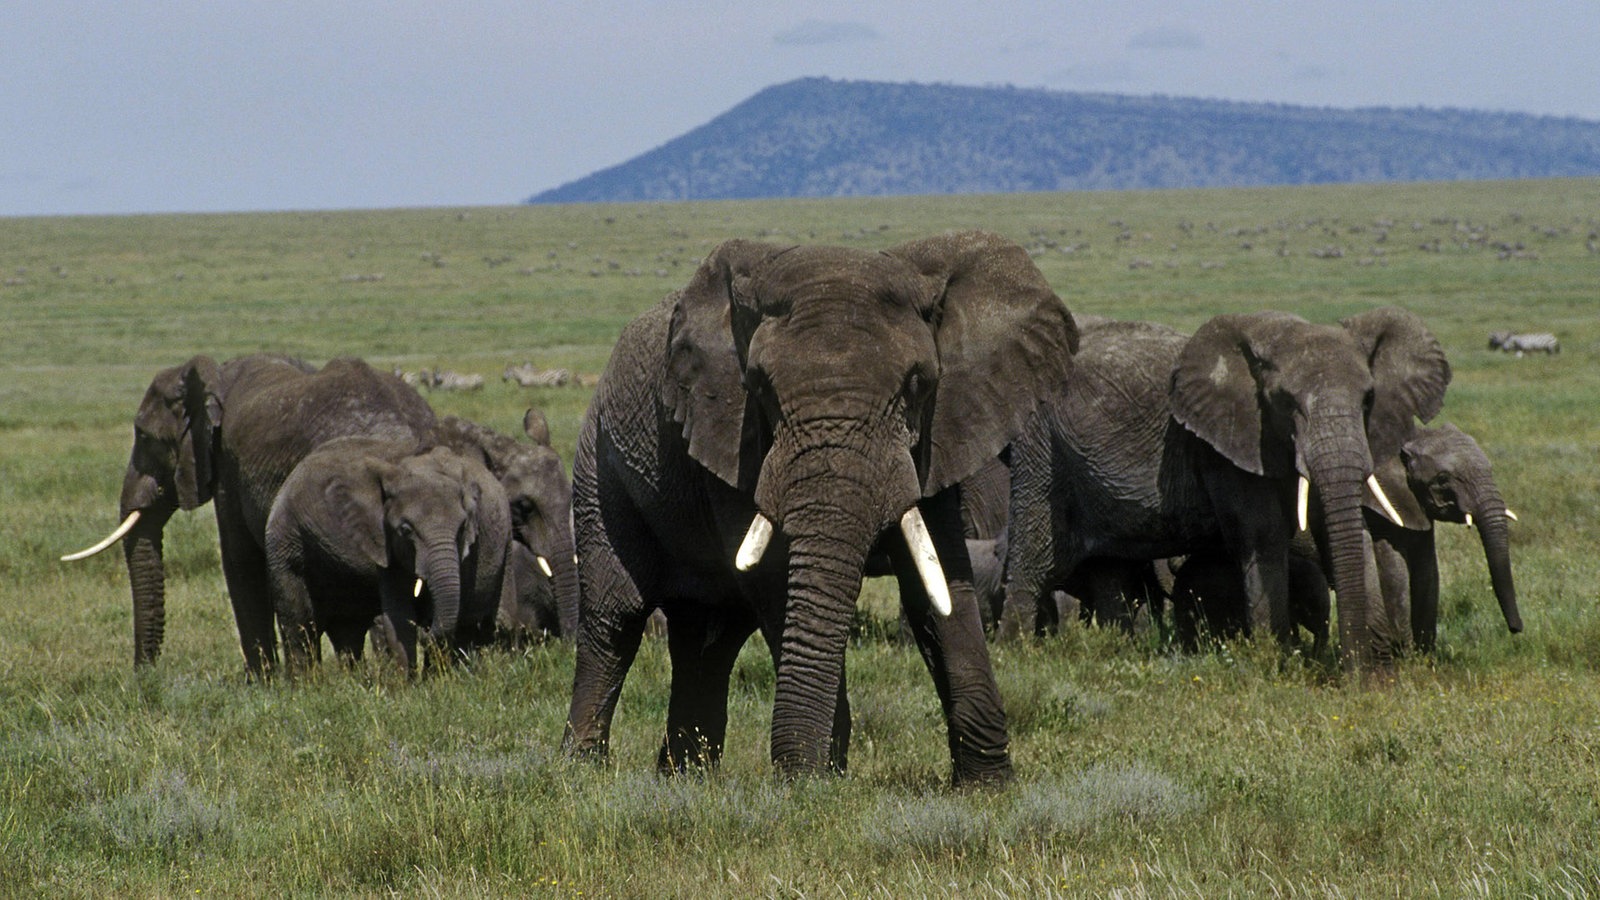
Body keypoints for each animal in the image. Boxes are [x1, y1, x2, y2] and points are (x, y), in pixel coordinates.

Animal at [62, 353, 435, 669]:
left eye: (143, 435)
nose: (145, 677)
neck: (213, 376)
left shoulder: (227, 466)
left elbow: (240, 560)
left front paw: (260, 685)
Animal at [563, 230, 1075, 784]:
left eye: (918, 384)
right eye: (759, 387)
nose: (798, 772)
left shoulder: (942, 431)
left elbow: (937, 581)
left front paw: (987, 786)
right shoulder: (733, 440)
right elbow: (776, 582)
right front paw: (815, 779)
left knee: (708, 635)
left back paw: (685, 778)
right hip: (599, 460)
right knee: (617, 616)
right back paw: (584, 771)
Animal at [1004, 307, 1459, 672]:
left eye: (1368, 400)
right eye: (1285, 402)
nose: (1356, 675)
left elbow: (1341, 530)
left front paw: (1376, 673)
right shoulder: (1225, 446)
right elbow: (1263, 535)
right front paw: (1277, 662)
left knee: (1107, 573)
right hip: (1041, 452)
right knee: (1033, 560)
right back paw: (1019, 656)